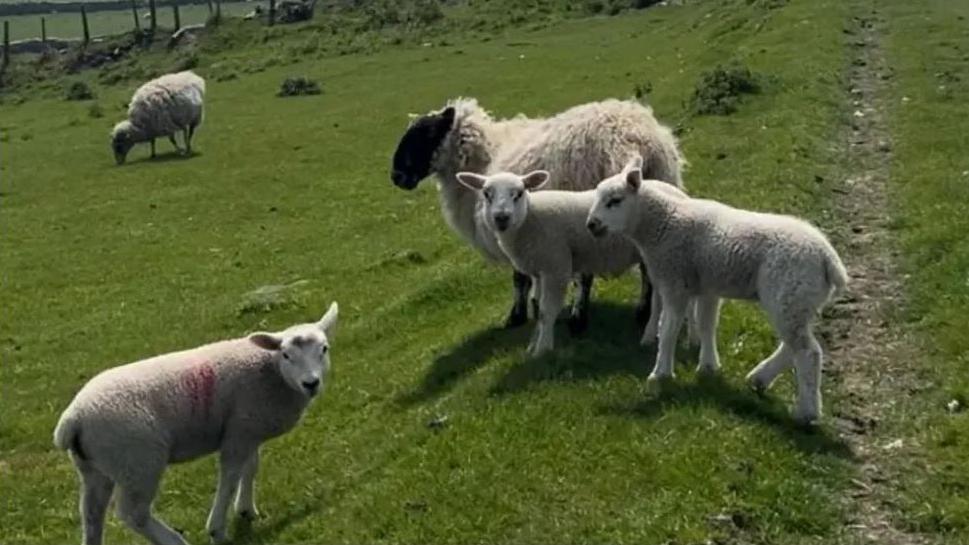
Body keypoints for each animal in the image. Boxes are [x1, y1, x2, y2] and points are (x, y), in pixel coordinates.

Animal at [54, 302, 340, 544]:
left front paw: (246, 509)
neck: (271, 372)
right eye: (286, 355)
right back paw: (174, 540)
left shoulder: (247, 428)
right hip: (138, 460)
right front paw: (217, 528)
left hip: (95, 467)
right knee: (133, 514)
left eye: (324, 349)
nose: (311, 383)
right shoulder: (238, 434)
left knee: (92, 514)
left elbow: (251, 468)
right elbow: (230, 477)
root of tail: (73, 418)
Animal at [390, 95, 684, 330]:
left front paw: (517, 315)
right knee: (647, 265)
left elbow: (519, 277)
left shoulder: (510, 227)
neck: (481, 159)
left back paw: (579, 319)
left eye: (427, 133)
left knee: (586, 275)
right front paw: (536, 304)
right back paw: (643, 312)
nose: (397, 176)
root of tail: (632, 141)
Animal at [456, 170, 692, 354]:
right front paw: (534, 344)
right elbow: (536, 306)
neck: (529, 221)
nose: (501, 217)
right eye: (486, 194)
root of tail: (677, 191)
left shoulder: (556, 266)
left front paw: (542, 350)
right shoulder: (540, 270)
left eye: (519, 193)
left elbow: (547, 310)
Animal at [584, 155, 848, 422]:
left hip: (789, 292)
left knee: (807, 352)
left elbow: (668, 329)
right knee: (791, 345)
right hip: (799, 301)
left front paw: (660, 374)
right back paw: (759, 379)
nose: (591, 225)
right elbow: (707, 325)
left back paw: (807, 412)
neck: (662, 223)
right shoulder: (707, 286)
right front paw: (708, 367)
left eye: (615, 201)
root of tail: (828, 259)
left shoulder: (675, 282)